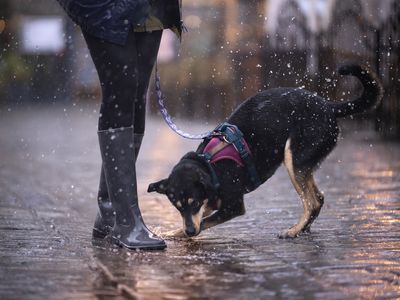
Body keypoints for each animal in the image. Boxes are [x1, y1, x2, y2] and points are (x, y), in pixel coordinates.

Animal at [147, 64, 382, 238]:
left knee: (313, 201)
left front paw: (179, 233)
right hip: (302, 163)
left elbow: (204, 221)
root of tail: (328, 106)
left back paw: (293, 231)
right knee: (318, 199)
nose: (189, 232)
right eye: (177, 207)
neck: (209, 164)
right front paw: (175, 231)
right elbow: (200, 218)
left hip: (294, 159)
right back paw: (303, 229)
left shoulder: (232, 206)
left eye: (193, 202)